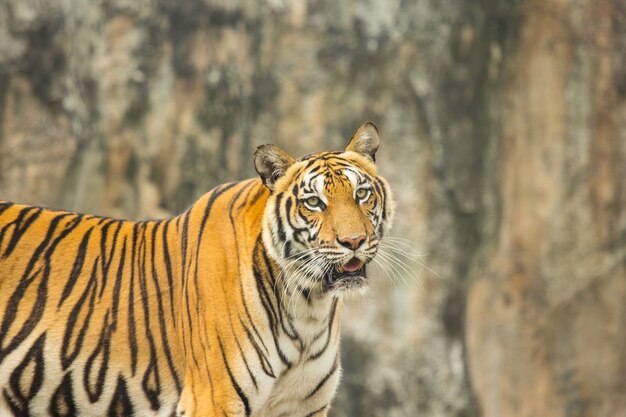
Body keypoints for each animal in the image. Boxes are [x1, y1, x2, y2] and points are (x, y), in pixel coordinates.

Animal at [0, 122, 390, 414]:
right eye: (314, 202)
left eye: (361, 194)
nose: (354, 240)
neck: (307, 306)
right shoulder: (214, 398)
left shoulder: (302, 407)